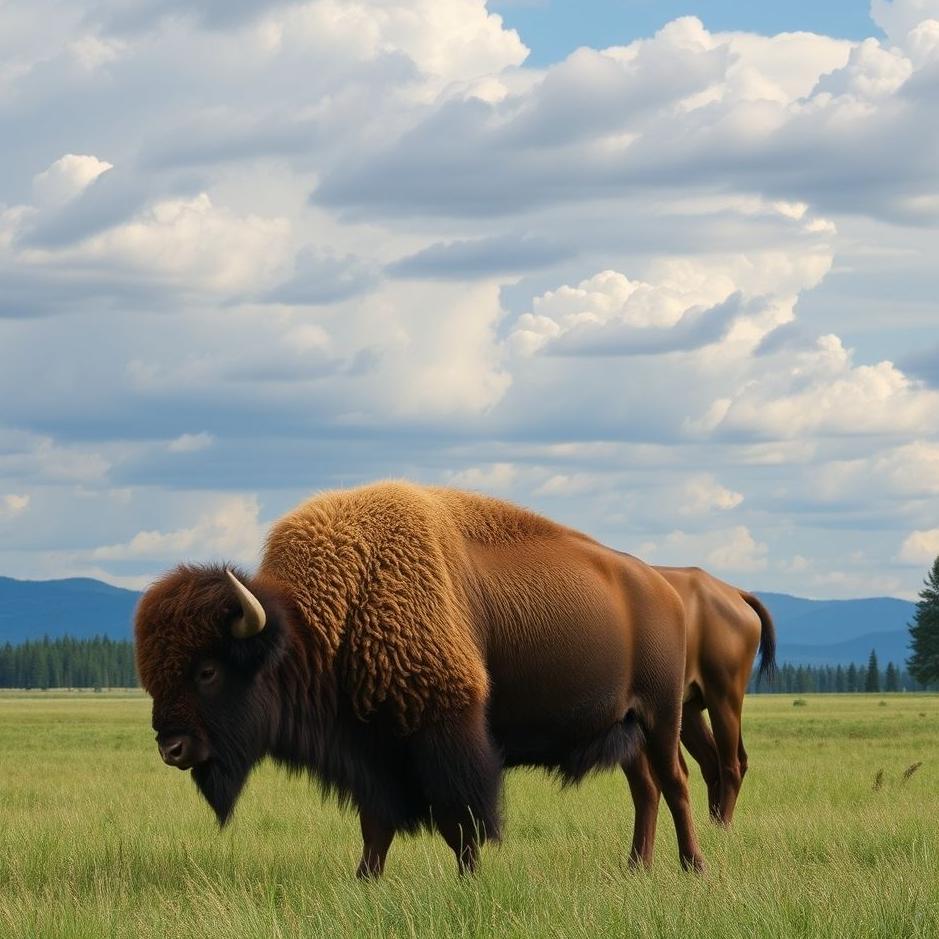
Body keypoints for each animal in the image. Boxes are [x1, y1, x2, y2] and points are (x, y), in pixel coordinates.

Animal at [135, 482, 703, 875]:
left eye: (207, 670)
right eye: (151, 678)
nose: (171, 747)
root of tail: (662, 587)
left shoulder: (447, 734)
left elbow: (462, 823)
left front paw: (470, 880)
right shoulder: (371, 752)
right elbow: (376, 826)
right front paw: (365, 880)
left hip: (661, 715)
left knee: (675, 782)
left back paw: (693, 868)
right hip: (628, 728)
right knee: (646, 790)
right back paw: (637, 867)